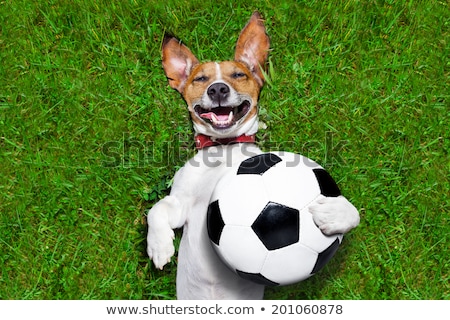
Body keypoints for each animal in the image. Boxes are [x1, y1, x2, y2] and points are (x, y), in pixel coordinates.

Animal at [146, 10, 360, 300]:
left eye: (238, 74)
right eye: (200, 79)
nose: (218, 89)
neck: (224, 149)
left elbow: (354, 213)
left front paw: (335, 214)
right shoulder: (179, 203)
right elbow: (154, 211)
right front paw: (159, 247)